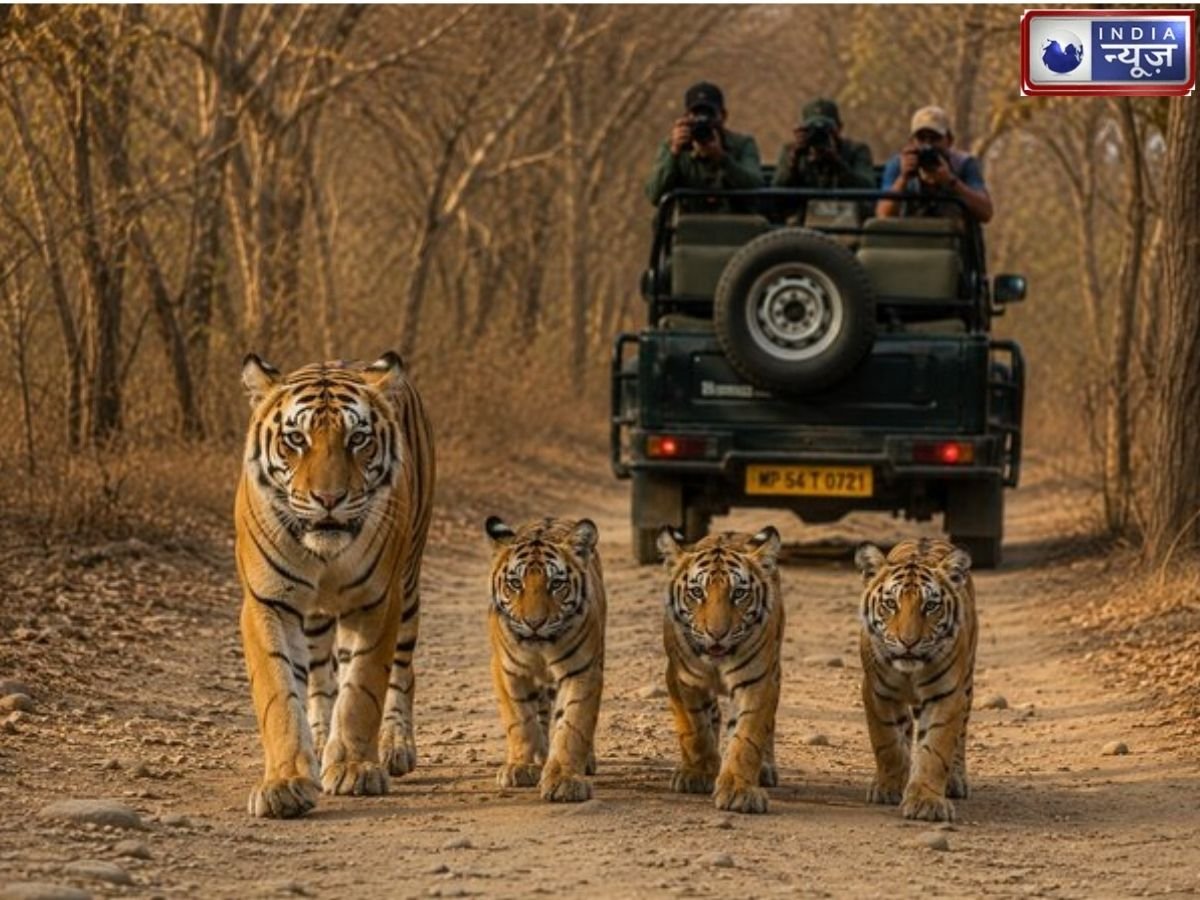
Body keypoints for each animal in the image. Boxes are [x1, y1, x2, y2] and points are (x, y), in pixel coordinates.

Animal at [235, 352, 434, 818]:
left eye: (358, 439)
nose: (329, 499)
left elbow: (362, 687)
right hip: (316, 616)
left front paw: (354, 768)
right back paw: (321, 739)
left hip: (409, 585)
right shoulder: (267, 603)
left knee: (402, 673)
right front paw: (285, 783)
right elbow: (279, 693)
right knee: (321, 677)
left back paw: (394, 745)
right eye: (296, 439)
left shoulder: (378, 601)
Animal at [484, 516, 605, 803]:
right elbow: (520, 719)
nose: (534, 623)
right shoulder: (508, 671)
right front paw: (522, 766)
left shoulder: (583, 670)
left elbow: (573, 725)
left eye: (556, 584)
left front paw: (564, 780)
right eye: (516, 583)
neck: (541, 649)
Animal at [657, 525, 784, 814]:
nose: (717, 634)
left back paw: (765, 769)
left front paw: (739, 790)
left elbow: (746, 737)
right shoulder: (682, 678)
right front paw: (697, 773)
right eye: (696, 592)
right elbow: (694, 729)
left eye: (738, 593)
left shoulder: (758, 681)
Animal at [855, 538, 976, 823]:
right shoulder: (877, 692)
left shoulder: (947, 696)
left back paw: (954, 780)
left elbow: (935, 749)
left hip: (967, 685)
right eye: (890, 604)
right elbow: (887, 742)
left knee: (960, 735)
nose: (908, 642)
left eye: (930, 606)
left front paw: (926, 802)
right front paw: (888, 787)